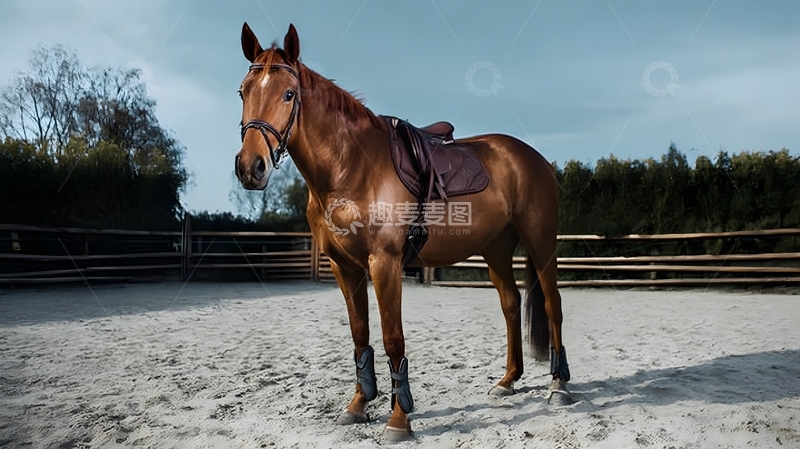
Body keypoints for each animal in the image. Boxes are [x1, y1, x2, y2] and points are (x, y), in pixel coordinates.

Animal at [234, 23, 573, 440]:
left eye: (288, 93)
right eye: (243, 92)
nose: (251, 167)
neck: (351, 168)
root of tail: (533, 157)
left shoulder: (385, 263)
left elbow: (392, 338)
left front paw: (399, 419)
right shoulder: (344, 267)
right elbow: (360, 335)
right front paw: (358, 405)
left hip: (541, 242)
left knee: (552, 304)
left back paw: (559, 386)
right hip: (495, 248)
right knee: (510, 304)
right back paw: (508, 380)